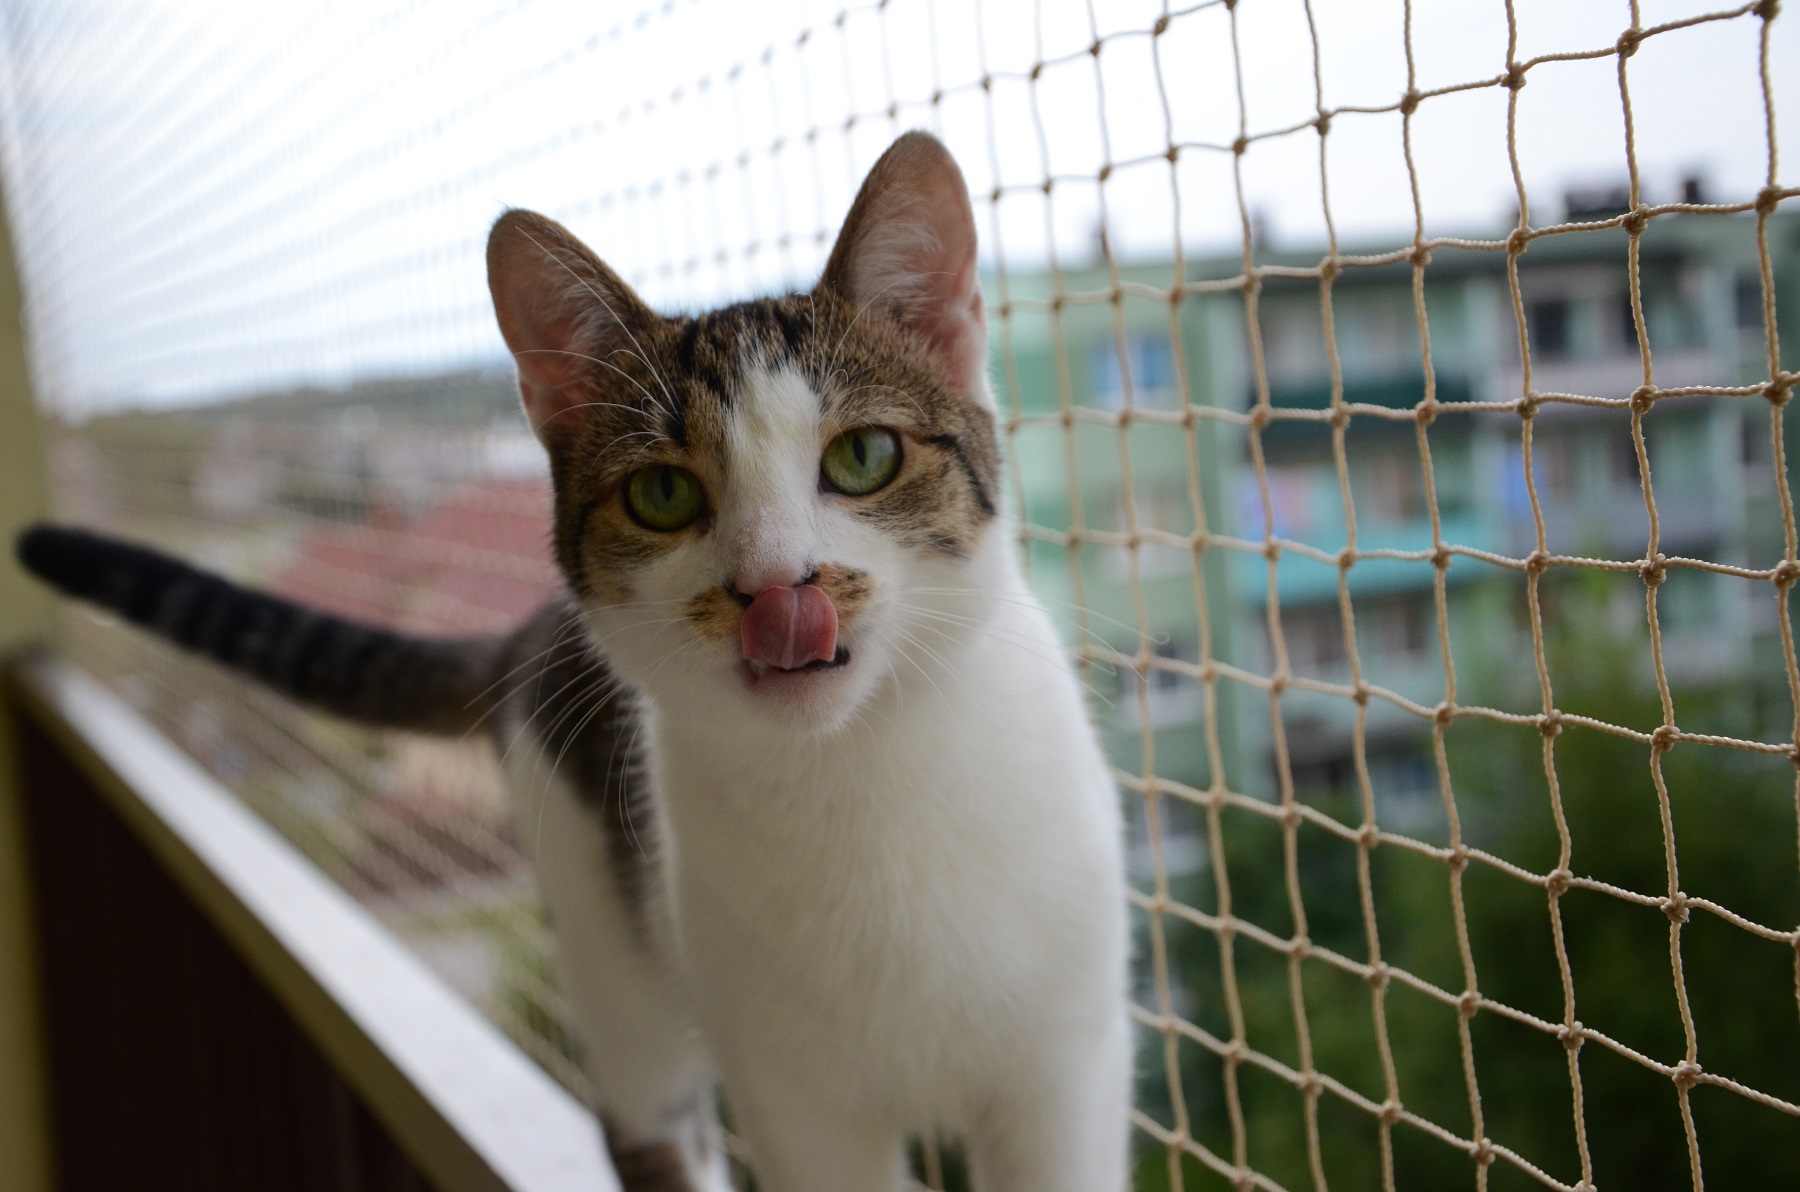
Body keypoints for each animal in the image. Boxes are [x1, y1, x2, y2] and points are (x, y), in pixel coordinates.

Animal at [17, 133, 1123, 1192]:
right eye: (663, 495)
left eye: (864, 458)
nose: (776, 590)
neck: (858, 778)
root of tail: (530, 633)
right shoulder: (792, 1099)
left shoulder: (1063, 1069)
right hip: (610, 945)